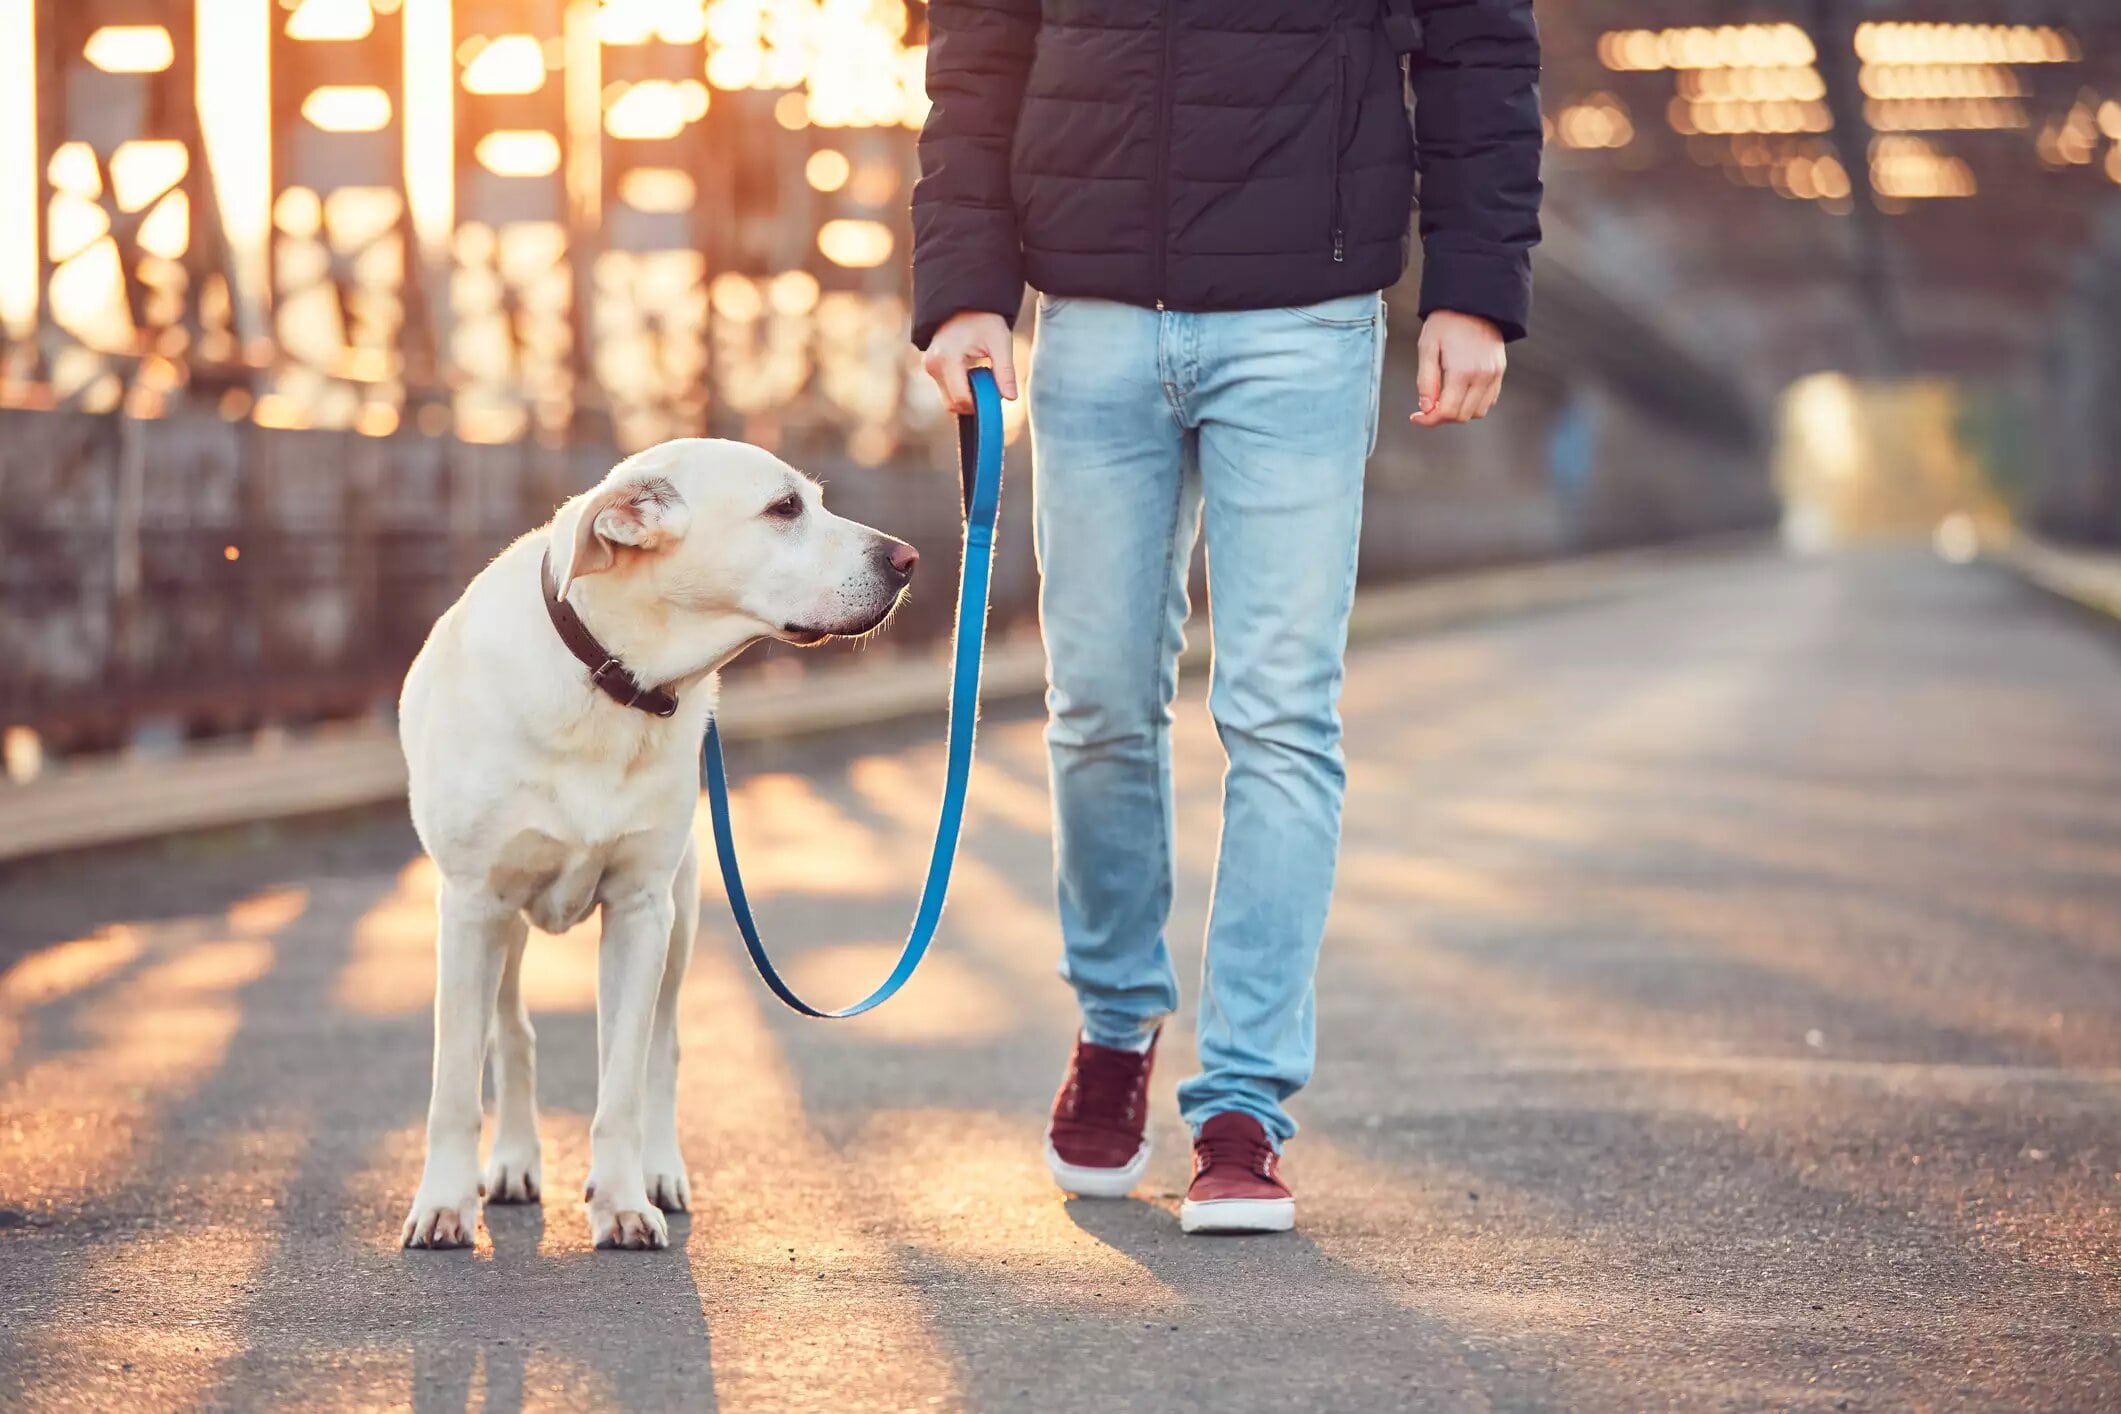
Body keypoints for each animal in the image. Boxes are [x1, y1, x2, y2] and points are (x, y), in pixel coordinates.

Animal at [398, 438, 920, 1246]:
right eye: (784, 508)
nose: (907, 559)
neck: (613, 680)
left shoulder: (641, 911)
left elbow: (623, 1084)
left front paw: (620, 1200)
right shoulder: (472, 907)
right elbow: (453, 1082)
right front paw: (444, 1203)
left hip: (680, 916)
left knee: (661, 1051)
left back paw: (658, 1171)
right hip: (503, 928)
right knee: (511, 1034)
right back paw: (514, 1160)